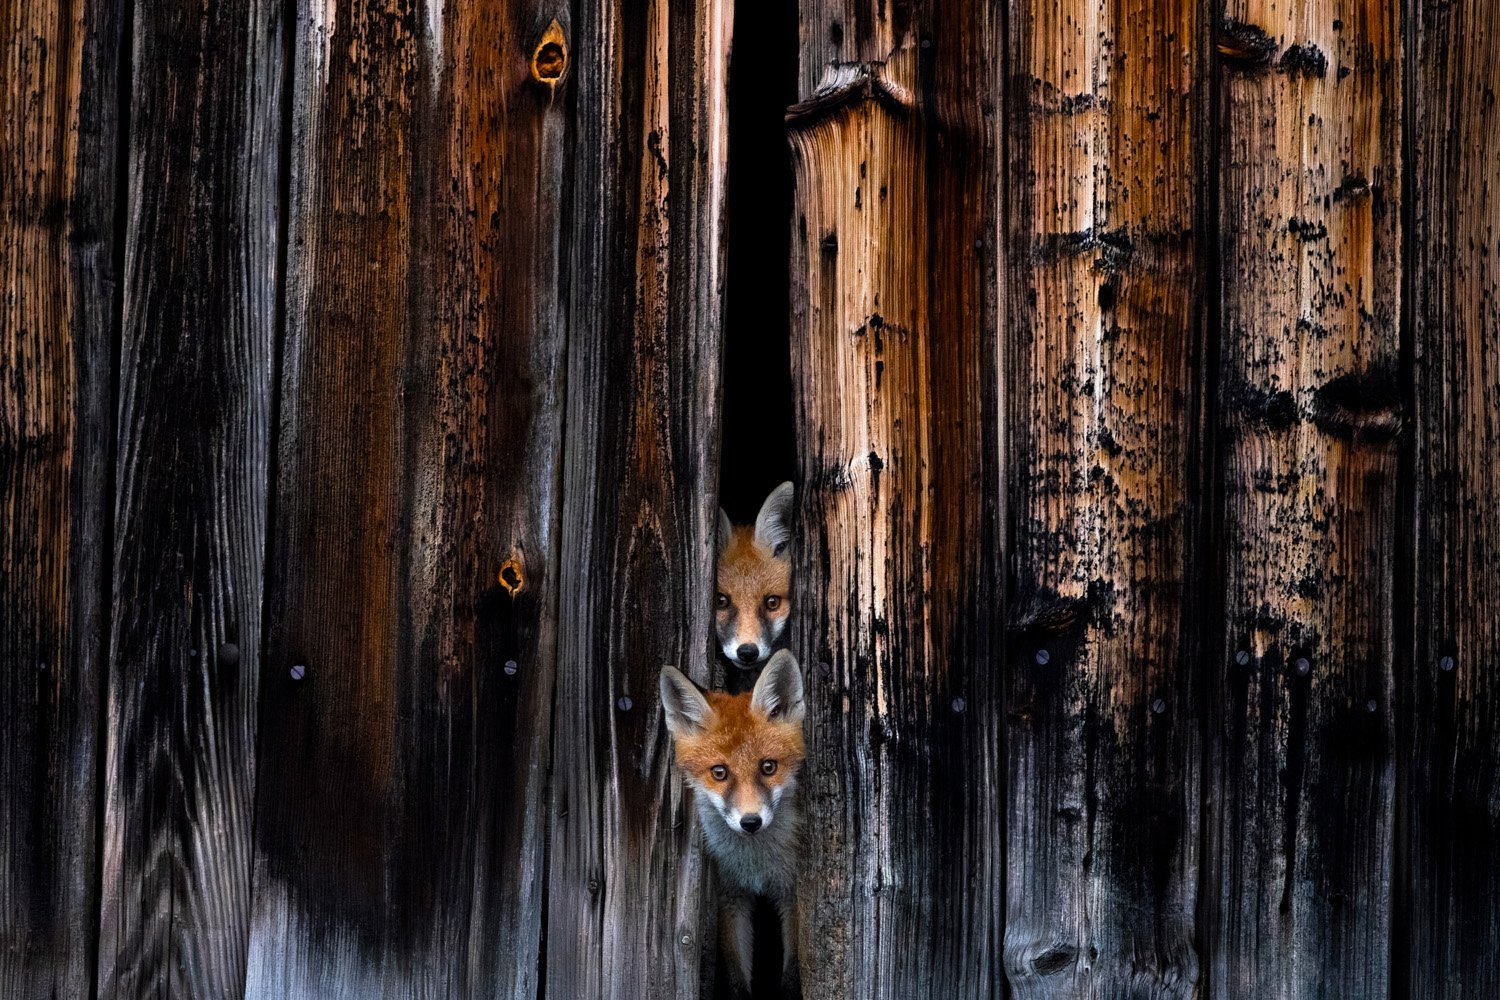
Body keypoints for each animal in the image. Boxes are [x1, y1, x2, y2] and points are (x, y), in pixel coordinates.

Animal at [660, 651, 805, 998]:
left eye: (768, 767)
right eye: (719, 772)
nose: (750, 822)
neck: (757, 862)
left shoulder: (791, 896)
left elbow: (792, 975)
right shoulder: (730, 898)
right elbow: (738, 979)